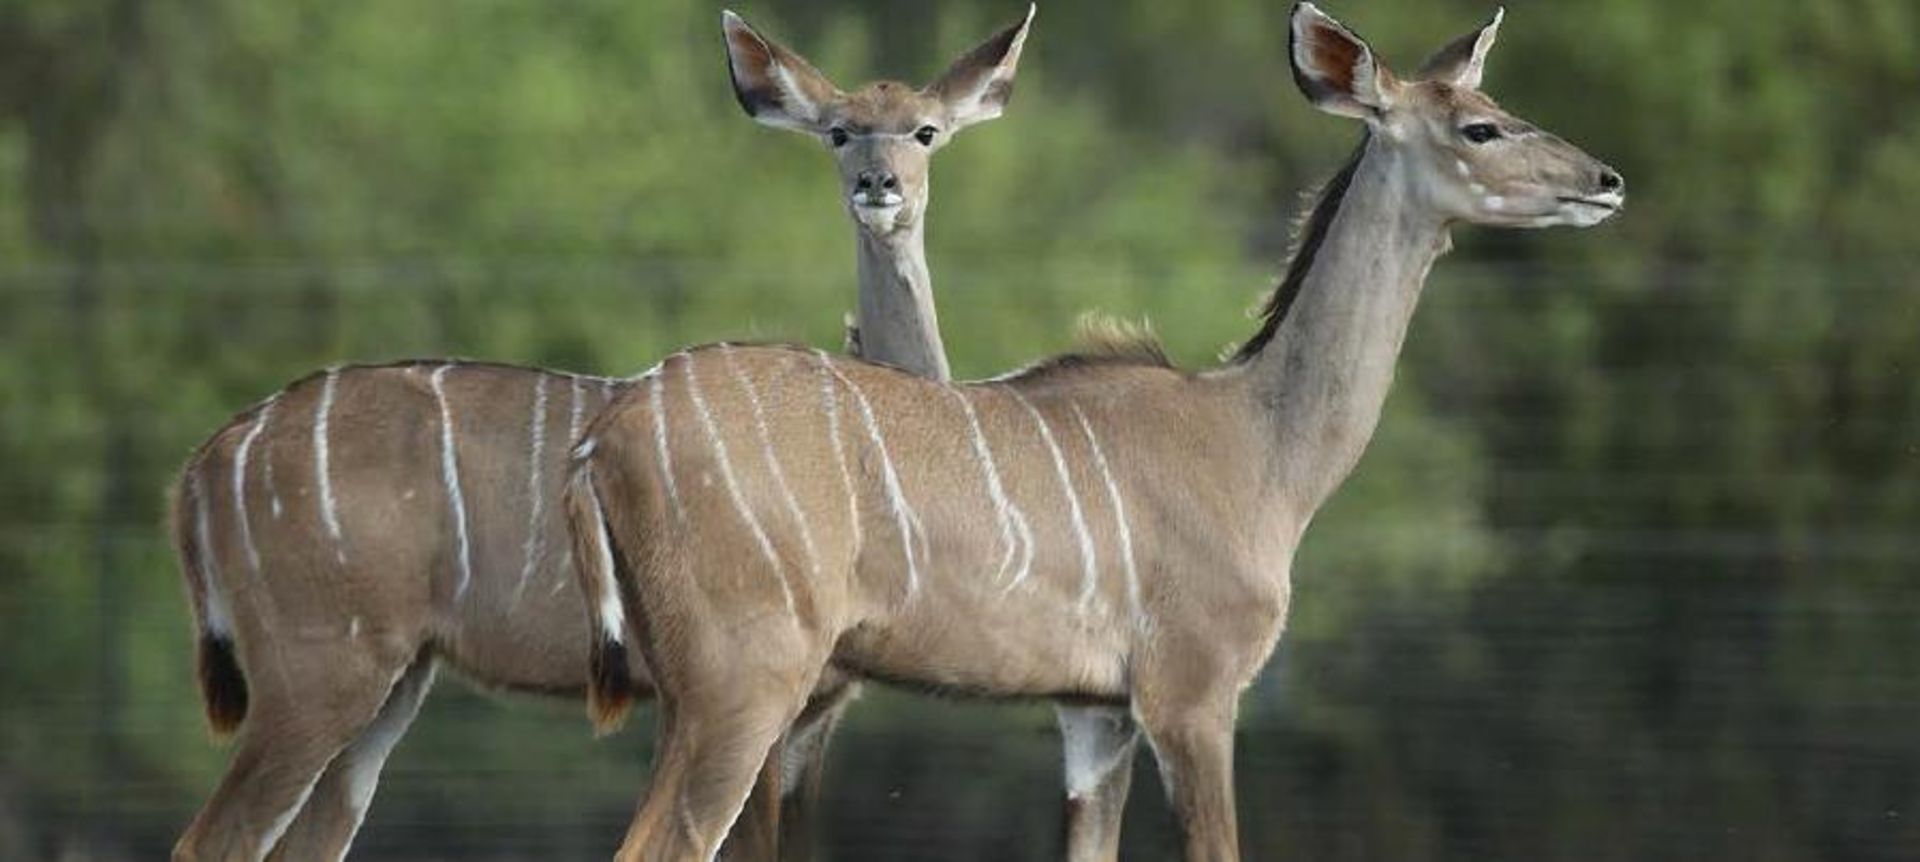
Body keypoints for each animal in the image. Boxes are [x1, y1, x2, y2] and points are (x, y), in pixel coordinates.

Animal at [165, 8, 1036, 860]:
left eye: (925, 131)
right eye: (839, 132)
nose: (876, 185)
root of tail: (206, 463)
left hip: (393, 685)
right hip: (320, 672)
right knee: (215, 838)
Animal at [564, 3, 1620, 856]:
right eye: (1481, 125)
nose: (1606, 179)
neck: (1260, 444)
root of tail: (606, 435)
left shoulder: (1092, 717)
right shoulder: (1192, 695)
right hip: (744, 689)